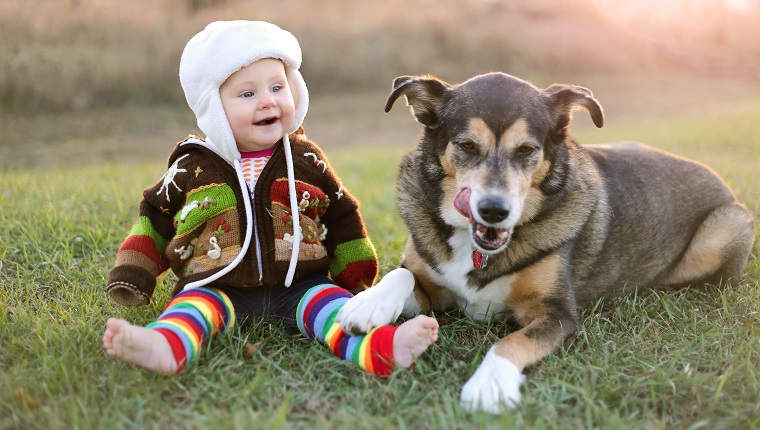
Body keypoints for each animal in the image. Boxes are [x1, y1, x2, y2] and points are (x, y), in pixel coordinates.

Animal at [336, 73, 756, 414]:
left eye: (526, 150)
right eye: (467, 146)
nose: (494, 210)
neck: (479, 251)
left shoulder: (558, 314)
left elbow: (512, 343)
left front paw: (489, 384)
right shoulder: (434, 289)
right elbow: (402, 275)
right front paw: (368, 304)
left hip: (727, 225)